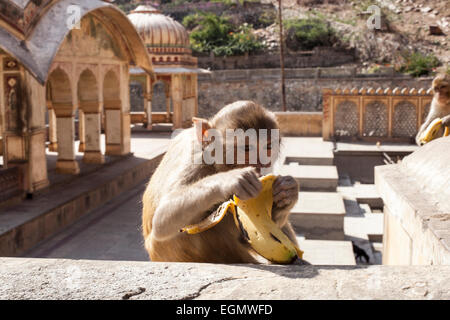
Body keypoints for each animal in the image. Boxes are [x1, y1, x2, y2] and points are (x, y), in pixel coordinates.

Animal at [142, 100, 300, 262]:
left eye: (268, 147)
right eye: (246, 148)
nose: (261, 164)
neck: (215, 164)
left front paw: (287, 192)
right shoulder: (194, 157)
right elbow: (162, 220)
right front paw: (232, 179)